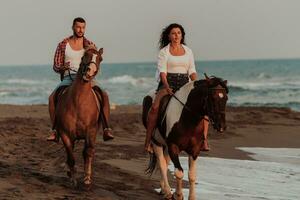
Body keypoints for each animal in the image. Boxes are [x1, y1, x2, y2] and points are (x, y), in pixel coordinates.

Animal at [54, 47, 104, 188]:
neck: (79, 102)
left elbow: (88, 152)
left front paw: (87, 179)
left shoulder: (91, 131)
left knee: (88, 152)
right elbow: (71, 156)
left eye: (100, 59)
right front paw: (73, 179)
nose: (89, 72)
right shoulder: (65, 134)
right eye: (84, 56)